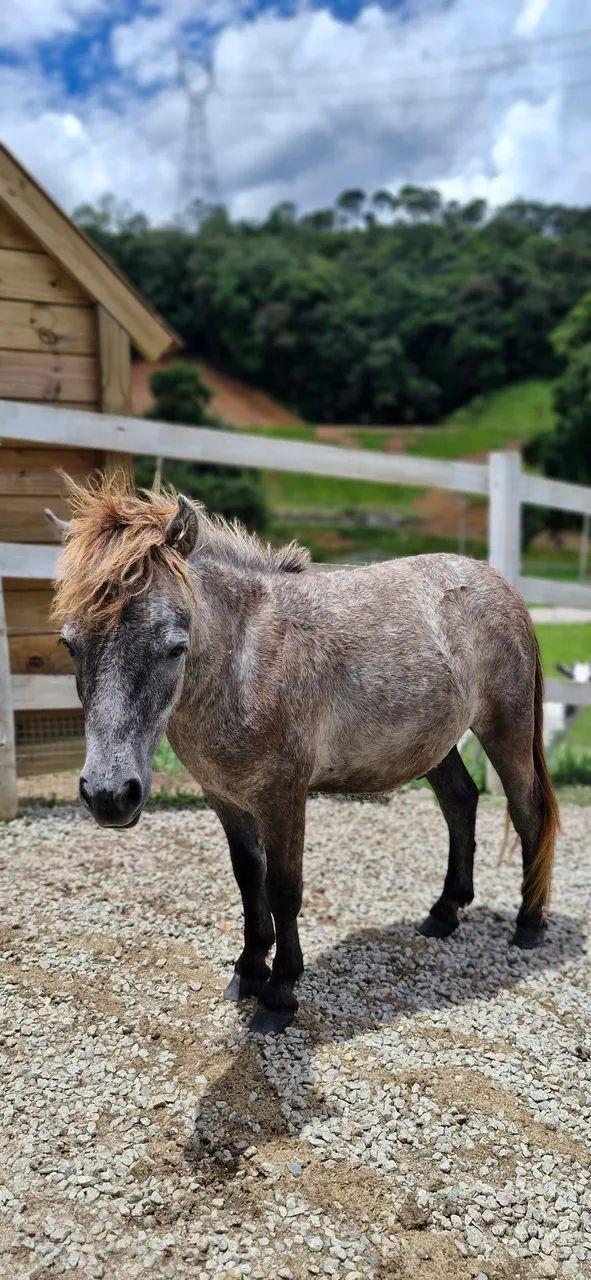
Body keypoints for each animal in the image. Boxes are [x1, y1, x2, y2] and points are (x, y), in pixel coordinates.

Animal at [50, 474, 559, 1034]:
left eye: (174, 646)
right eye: (70, 644)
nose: (109, 795)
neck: (244, 663)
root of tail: (499, 584)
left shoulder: (283, 798)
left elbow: (284, 888)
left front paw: (280, 993)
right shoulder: (225, 798)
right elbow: (248, 878)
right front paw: (250, 969)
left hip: (506, 727)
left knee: (527, 811)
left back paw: (529, 925)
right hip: (435, 743)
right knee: (460, 802)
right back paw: (444, 913)